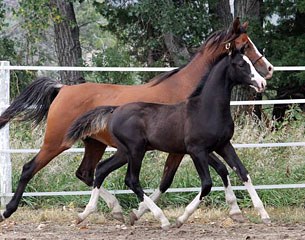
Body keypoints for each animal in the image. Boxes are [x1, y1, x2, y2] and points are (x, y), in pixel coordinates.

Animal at [0, 17, 270, 222]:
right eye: (245, 45)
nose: (267, 72)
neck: (190, 91)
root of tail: (62, 88)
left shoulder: (193, 148)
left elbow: (227, 171)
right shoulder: (187, 149)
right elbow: (168, 180)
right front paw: (144, 213)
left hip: (95, 144)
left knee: (87, 173)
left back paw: (115, 208)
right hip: (57, 142)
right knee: (30, 168)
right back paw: (8, 210)